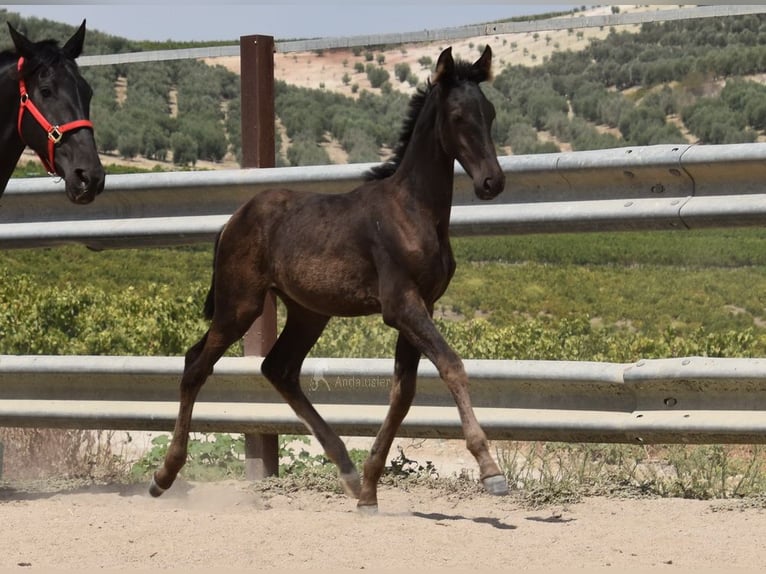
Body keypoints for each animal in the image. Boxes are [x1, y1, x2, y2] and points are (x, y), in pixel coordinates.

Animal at [150, 45, 509, 510]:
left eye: (490, 112)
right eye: (457, 116)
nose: (492, 182)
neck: (412, 210)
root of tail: (232, 220)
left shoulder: (422, 305)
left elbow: (403, 393)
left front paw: (370, 487)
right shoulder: (401, 305)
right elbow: (452, 366)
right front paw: (491, 470)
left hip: (308, 312)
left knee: (278, 368)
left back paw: (350, 474)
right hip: (240, 305)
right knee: (196, 364)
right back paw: (164, 474)